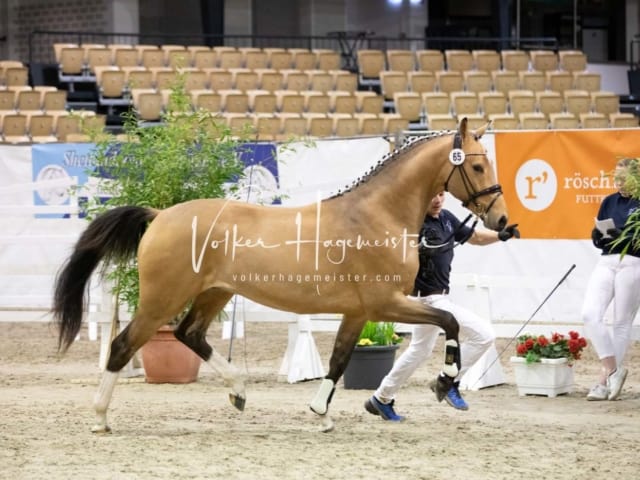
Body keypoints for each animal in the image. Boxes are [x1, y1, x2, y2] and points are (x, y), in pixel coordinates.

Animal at [52, 118, 508, 434]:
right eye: (477, 166)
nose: (502, 221)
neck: (375, 215)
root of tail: (160, 214)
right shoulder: (385, 304)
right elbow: (448, 321)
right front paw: (443, 383)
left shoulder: (358, 313)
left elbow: (339, 360)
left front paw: (321, 415)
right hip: (162, 299)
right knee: (123, 345)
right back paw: (100, 418)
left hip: (214, 293)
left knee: (189, 334)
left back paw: (238, 392)